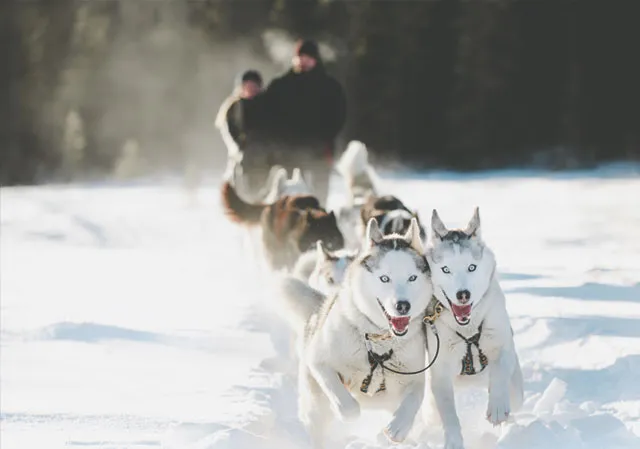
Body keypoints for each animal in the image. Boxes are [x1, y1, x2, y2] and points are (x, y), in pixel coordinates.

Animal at [278, 216, 432, 444]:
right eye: (384, 278)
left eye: (412, 278)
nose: (403, 306)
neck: (379, 339)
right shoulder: (319, 361)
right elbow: (344, 401)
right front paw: (348, 411)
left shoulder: (414, 376)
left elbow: (414, 398)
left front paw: (398, 427)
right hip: (315, 403)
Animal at [422, 207, 524, 448]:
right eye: (446, 269)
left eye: (471, 267)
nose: (463, 294)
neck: (469, 328)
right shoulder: (440, 374)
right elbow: (449, 415)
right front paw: (453, 441)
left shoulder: (503, 347)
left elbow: (500, 373)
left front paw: (497, 406)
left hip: (516, 390)